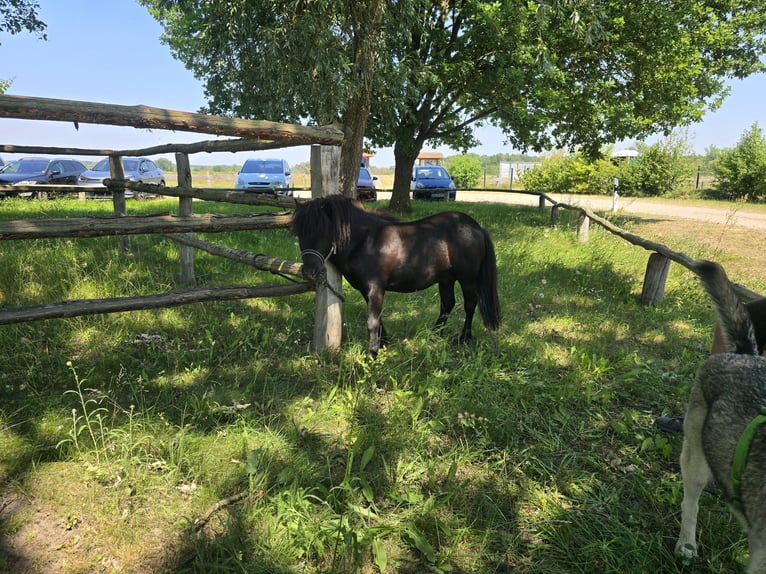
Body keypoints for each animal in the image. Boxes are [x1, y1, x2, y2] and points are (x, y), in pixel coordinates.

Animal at [291, 194, 501, 356]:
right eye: (299, 234)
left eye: (323, 231)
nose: (309, 271)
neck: (365, 242)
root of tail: (476, 227)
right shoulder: (366, 290)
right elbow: (378, 318)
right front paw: (384, 343)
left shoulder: (375, 289)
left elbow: (372, 321)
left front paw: (372, 353)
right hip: (446, 279)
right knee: (447, 305)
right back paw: (434, 335)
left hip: (467, 278)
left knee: (470, 304)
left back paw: (464, 337)